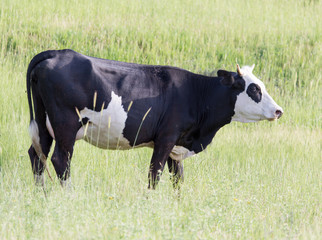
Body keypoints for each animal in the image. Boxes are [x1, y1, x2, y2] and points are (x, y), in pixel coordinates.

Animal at [27, 49, 284, 189]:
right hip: (66, 125)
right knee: (60, 160)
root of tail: (58, 52)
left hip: (44, 124)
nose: (278, 111)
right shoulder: (166, 138)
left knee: (37, 156)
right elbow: (154, 174)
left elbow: (178, 180)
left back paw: (41, 195)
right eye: (254, 89)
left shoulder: (177, 146)